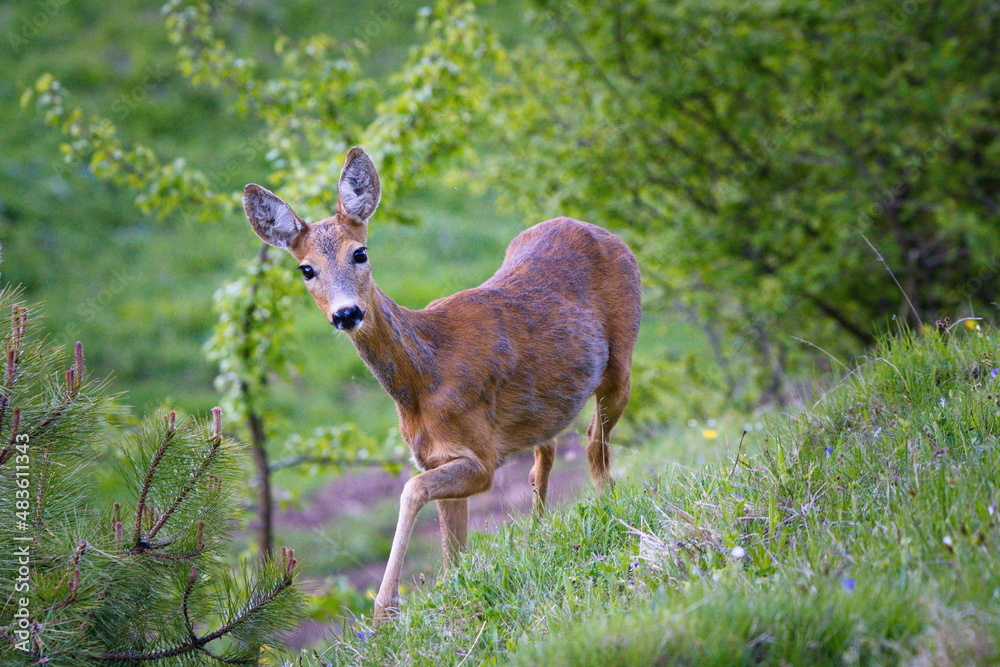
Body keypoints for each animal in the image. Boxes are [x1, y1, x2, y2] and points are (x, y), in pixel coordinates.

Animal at [241, 147, 641, 626]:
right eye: (306, 269)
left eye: (360, 252)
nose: (346, 314)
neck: (423, 378)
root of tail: (596, 228)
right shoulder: (436, 455)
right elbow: (453, 554)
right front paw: (450, 596)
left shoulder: (479, 456)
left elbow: (412, 490)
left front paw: (385, 610)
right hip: (549, 400)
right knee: (547, 448)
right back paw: (539, 530)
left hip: (621, 360)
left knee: (595, 443)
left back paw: (608, 508)